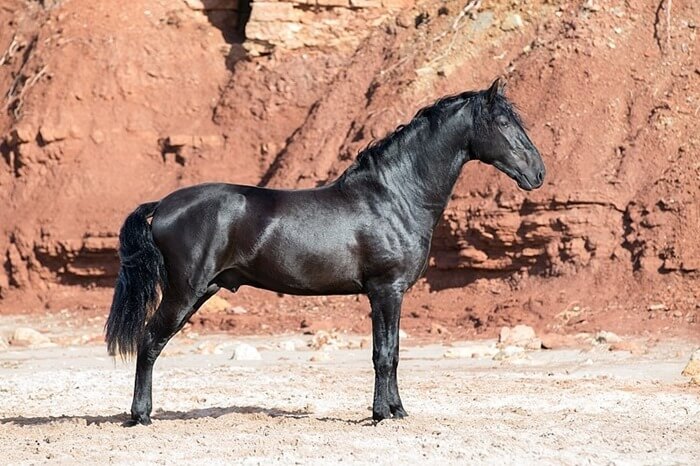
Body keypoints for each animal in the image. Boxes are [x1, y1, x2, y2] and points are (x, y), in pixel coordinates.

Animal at [106, 78, 545, 426]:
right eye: (504, 123)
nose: (538, 173)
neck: (395, 196)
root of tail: (163, 205)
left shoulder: (392, 294)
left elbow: (395, 353)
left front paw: (398, 411)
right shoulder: (385, 290)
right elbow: (383, 354)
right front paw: (380, 414)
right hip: (185, 292)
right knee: (149, 342)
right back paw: (140, 415)